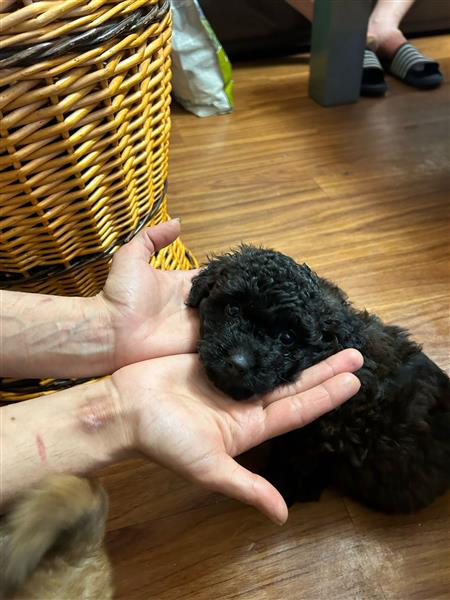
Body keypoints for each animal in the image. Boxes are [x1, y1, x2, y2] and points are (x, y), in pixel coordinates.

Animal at [188, 246, 450, 512]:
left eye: (287, 338)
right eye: (232, 310)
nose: (238, 363)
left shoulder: (319, 438)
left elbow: (299, 462)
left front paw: (281, 485)